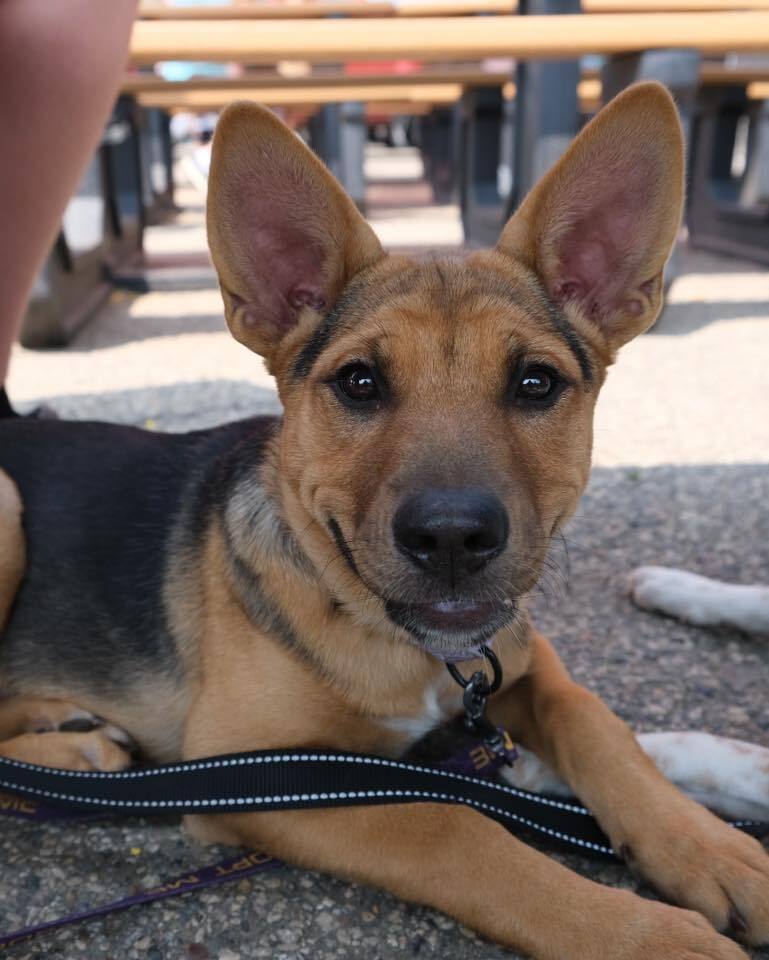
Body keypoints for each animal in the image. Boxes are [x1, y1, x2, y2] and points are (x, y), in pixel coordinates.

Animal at [0, 84, 764, 960]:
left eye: (536, 382)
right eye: (358, 382)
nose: (452, 537)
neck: (390, 640)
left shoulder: (523, 660)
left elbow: (599, 726)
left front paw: (713, 850)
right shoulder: (250, 769)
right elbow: (453, 829)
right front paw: (643, 935)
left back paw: (66, 728)